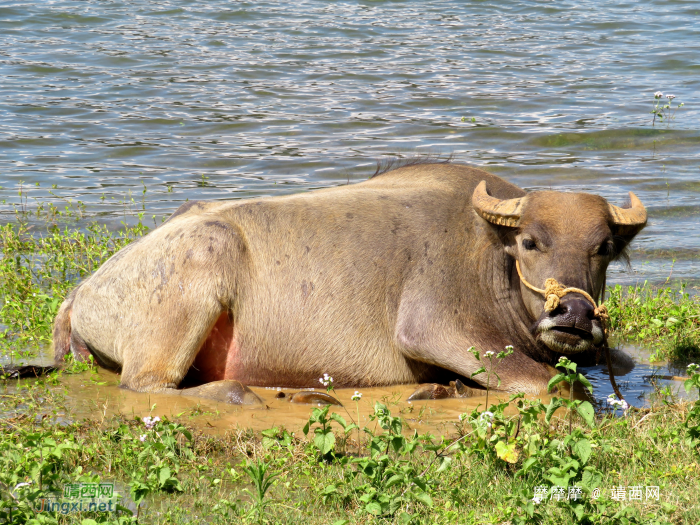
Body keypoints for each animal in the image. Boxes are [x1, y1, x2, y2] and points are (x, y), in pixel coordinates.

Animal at [53, 162, 644, 400]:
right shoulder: (434, 327)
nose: (573, 313)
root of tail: (82, 291)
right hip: (204, 261)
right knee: (149, 384)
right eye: (530, 242)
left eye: (603, 249)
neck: (489, 256)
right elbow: (556, 383)